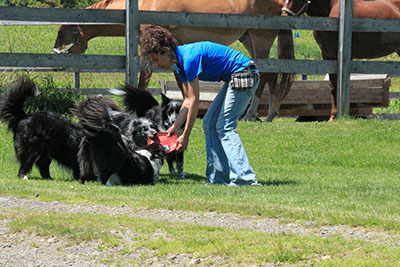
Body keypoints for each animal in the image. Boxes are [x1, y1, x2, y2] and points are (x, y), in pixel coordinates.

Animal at [53, 0, 296, 122]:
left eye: (62, 33)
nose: (55, 57)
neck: (145, 6)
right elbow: (179, 83)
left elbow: (144, 79)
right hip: (249, 38)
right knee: (271, 75)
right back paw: (269, 113)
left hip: (261, 36)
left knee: (267, 72)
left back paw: (252, 113)